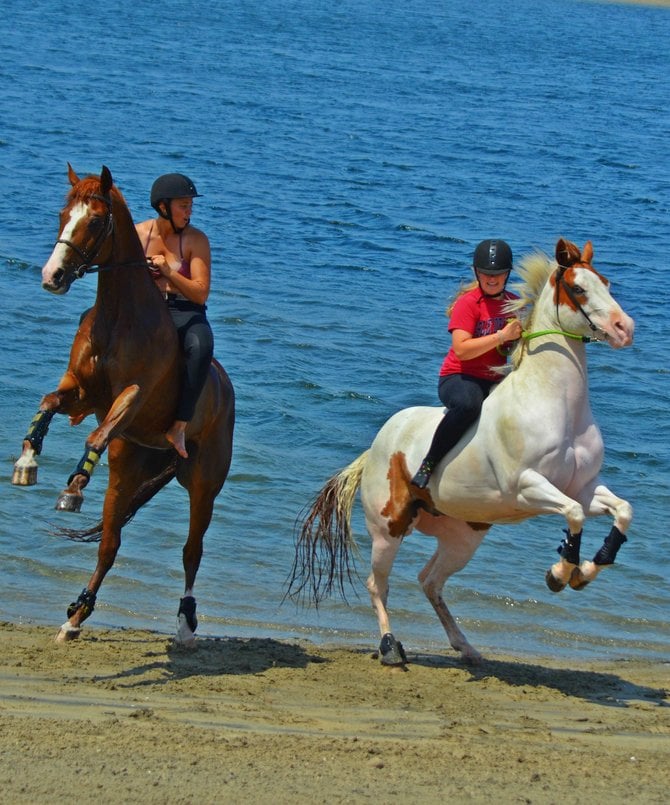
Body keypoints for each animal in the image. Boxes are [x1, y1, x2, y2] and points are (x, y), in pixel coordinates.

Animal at [11, 165, 236, 648]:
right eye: (63, 215)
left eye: (95, 221)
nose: (52, 276)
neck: (119, 318)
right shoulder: (81, 390)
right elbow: (47, 403)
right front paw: (27, 460)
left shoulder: (131, 397)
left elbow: (98, 432)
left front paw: (73, 487)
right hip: (127, 469)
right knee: (109, 544)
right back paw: (76, 616)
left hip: (203, 484)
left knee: (192, 551)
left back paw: (185, 624)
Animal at [288, 239, 636, 664]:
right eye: (578, 288)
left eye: (607, 282)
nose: (625, 328)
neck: (556, 403)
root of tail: (374, 448)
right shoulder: (527, 486)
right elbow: (572, 514)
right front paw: (559, 574)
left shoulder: (582, 488)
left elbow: (621, 511)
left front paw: (585, 570)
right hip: (388, 529)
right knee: (377, 584)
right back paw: (390, 647)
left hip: (462, 537)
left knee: (430, 581)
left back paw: (466, 647)